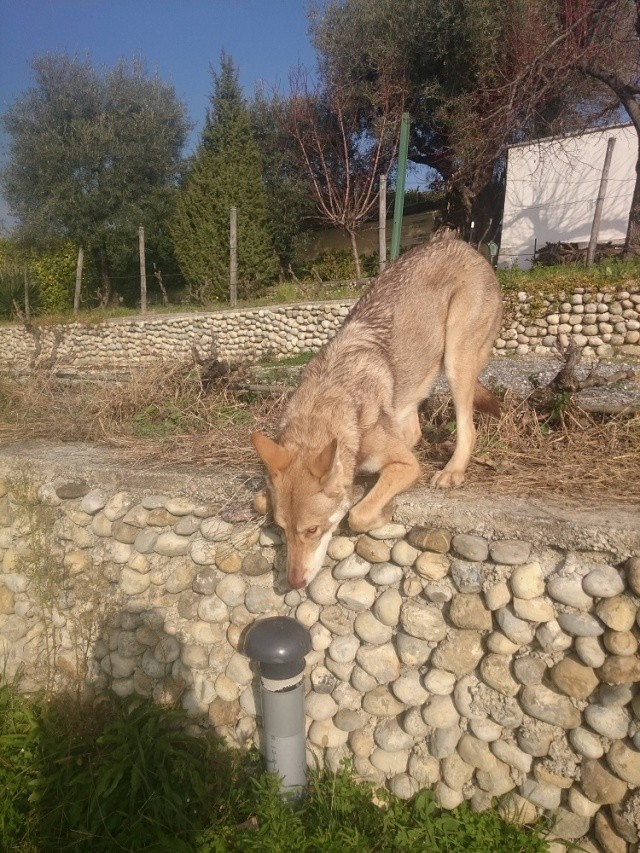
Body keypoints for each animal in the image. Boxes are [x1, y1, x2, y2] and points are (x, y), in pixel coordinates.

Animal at [252, 236, 502, 588]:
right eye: (281, 529)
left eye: (312, 530)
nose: (294, 583)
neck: (331, 404)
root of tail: (461, 244)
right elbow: (259, 498)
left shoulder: (407, 466)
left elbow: (357, 515)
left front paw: (379, 512)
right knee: (414, 430)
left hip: (455, 361)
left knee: (468, 429)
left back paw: (452, 471)